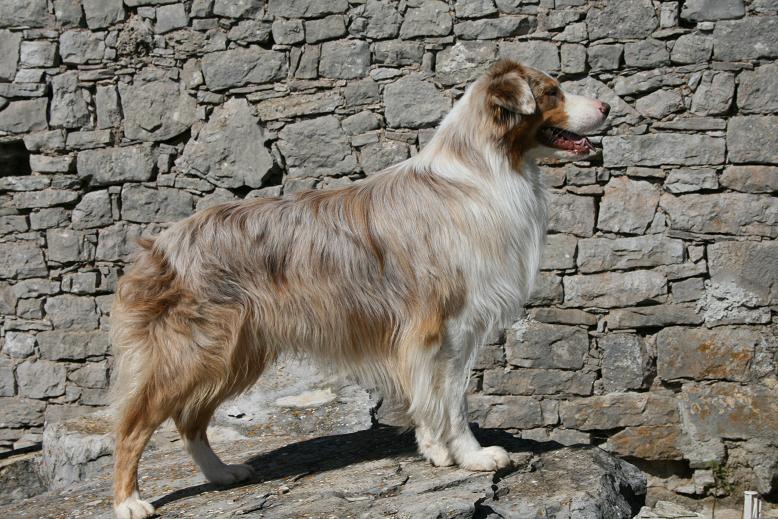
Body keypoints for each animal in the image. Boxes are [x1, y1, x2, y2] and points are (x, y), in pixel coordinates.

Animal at [110, 59, 609, 518]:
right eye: (551, 92)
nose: (607, 105)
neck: (483, 169)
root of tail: (162, 244)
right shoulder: (449, 326)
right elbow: (453, 400)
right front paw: (472, 455)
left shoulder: (426, 339)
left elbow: (428, 396)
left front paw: (435, 451)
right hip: (194, 351)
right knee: (135, 425)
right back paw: (129, 501)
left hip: (233, 354)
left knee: (189, 419)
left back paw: (221, 473)